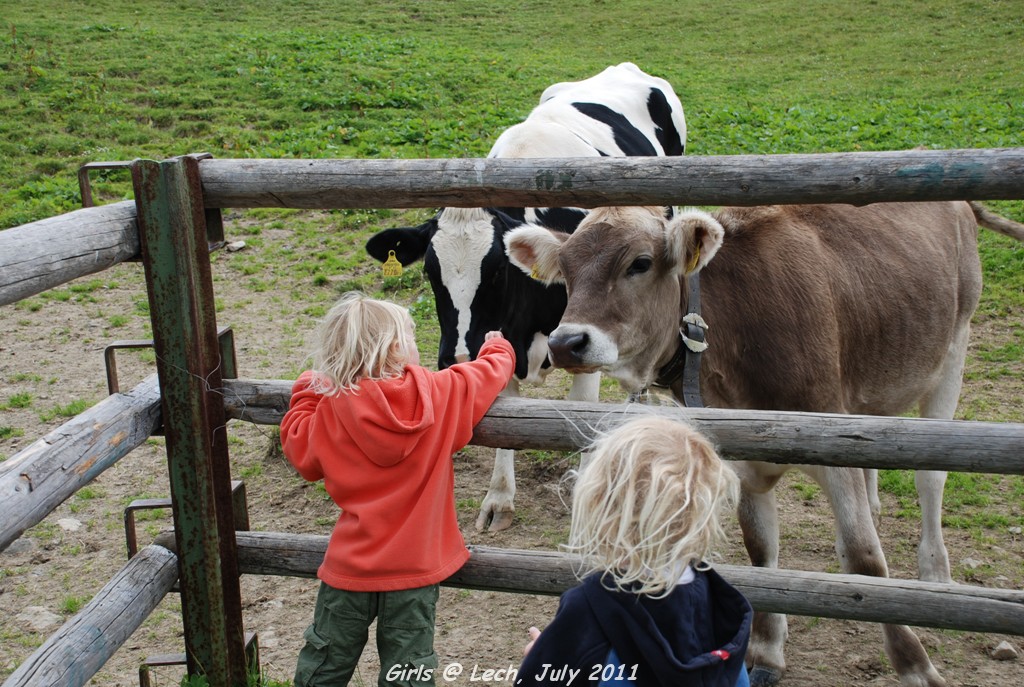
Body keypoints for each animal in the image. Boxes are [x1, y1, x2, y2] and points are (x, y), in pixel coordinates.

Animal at [365, 63, 687, 531]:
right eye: (429, 271)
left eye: (498, 271)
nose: (457, 357)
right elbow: (507, 420)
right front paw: (499, 498)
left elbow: (583, 418)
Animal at [504, 200, 1024, 686]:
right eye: (566, 270)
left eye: (640, 262)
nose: (567, 343)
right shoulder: (743, 457)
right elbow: (762, 554)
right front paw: (768, 651)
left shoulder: (832, 434)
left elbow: (866, 559)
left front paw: (914, 663)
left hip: (954, 348)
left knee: (930, 477)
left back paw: (936, 573)